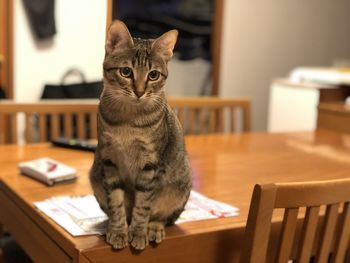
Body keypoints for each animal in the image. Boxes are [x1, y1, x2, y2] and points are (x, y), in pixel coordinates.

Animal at [88, 20, 191, 252]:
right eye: (126, 71)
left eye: (153, 75)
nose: (140, 91)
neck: (129, 120)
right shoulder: (109, 159)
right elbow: (116, 202)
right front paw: (119, 231)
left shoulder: (150, 165)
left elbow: (143, 205)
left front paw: (137, 232)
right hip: (96, 177)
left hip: (179, 189)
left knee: (164, 217)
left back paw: (154, 228)